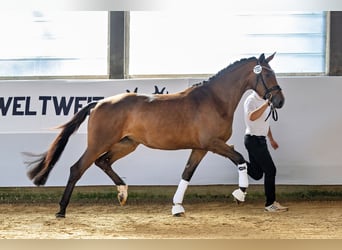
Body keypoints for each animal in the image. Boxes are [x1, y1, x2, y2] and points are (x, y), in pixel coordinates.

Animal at [26, 52, 284, 217]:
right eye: (267, 75)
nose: (279, 101)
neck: (214, 100)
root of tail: (98, 103)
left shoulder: (200, 147)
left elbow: (187, 173)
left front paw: (177, 207)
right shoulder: (213, 143)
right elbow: (240, 158)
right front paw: (239, 194)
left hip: (127, 144)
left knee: (103, 162)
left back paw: (122, 193)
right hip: (99, 143)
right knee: (77, 168)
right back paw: (61, 210)